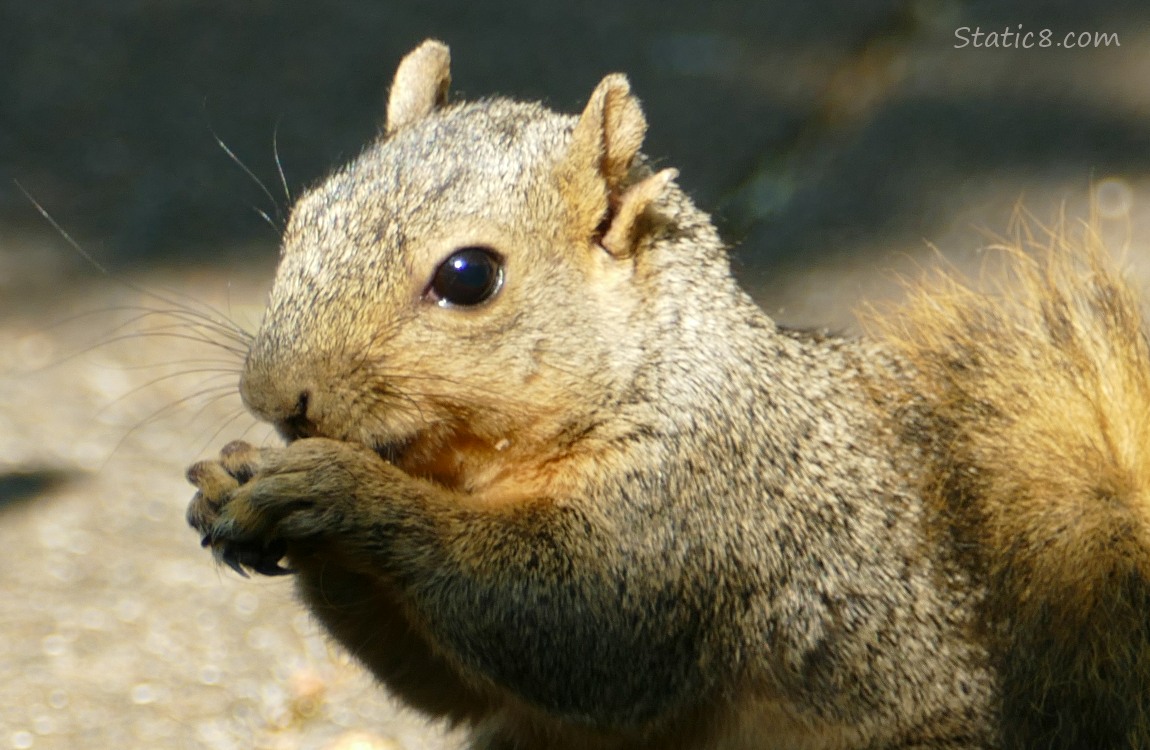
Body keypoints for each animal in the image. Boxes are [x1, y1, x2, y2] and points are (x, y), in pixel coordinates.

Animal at [184, 41, 1150, 750]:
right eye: (304, 216)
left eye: (468, 277)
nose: (273, 396)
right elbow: (442, 681)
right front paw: (235, 481)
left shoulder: (690, 518)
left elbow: (564, 627)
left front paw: (330, 488)